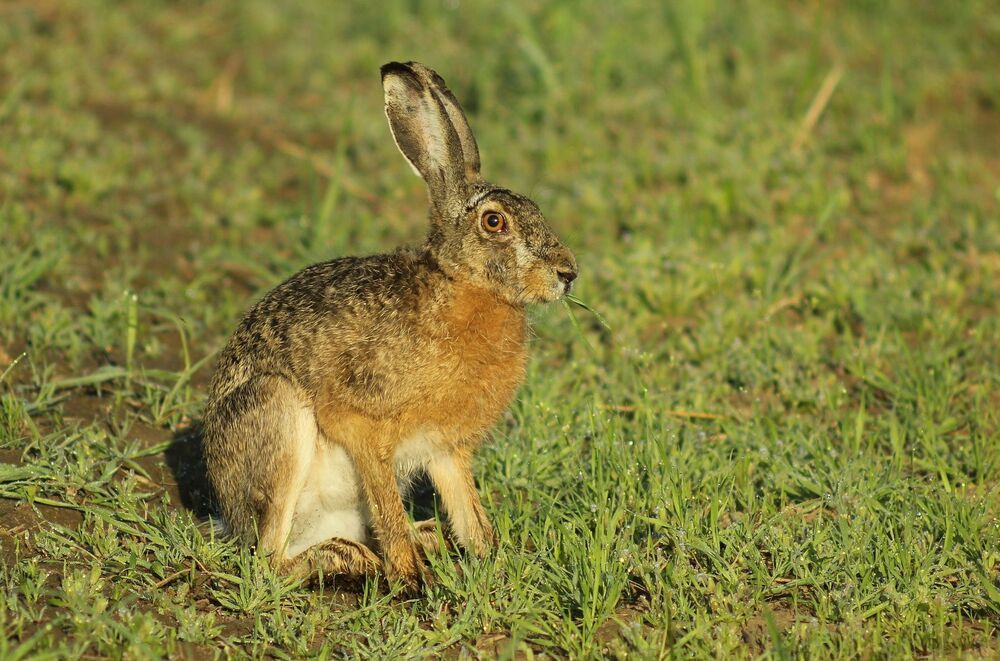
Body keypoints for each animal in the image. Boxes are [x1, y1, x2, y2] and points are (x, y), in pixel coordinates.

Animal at [202, 61, 577, 591]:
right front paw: (412, 580)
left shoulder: (445, 449)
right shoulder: (363, 423)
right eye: (494, 222)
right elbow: (386, 503)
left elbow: (469, 512)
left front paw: (495, 562)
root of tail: (229, 517)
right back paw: (349, 559)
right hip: (277, 414)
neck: (461, 288)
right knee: (269, 561)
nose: (568, 274)